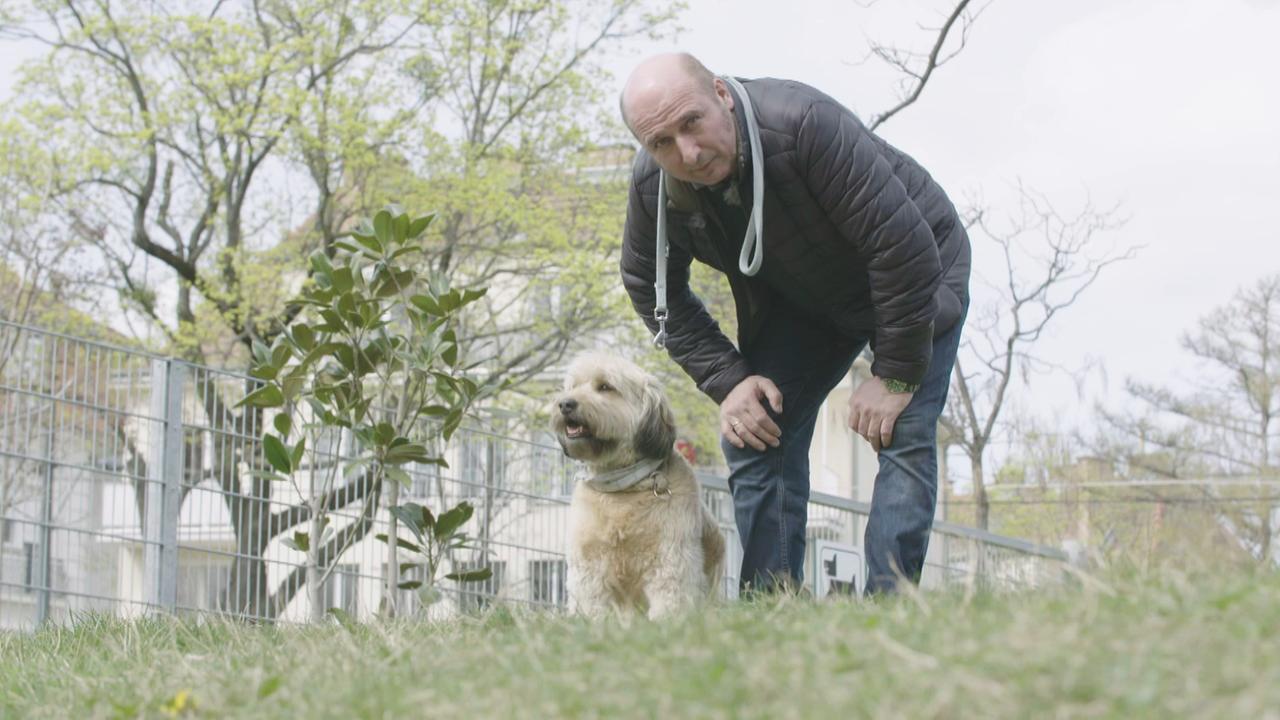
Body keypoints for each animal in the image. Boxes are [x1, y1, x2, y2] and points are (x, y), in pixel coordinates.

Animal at [552, 351, 727, 614]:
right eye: (573, 387)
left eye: (605, 387)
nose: (565, 404)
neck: (624, 489)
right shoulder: (588, 568)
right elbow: (590, 607)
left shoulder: (671, 562)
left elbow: (670, 603)